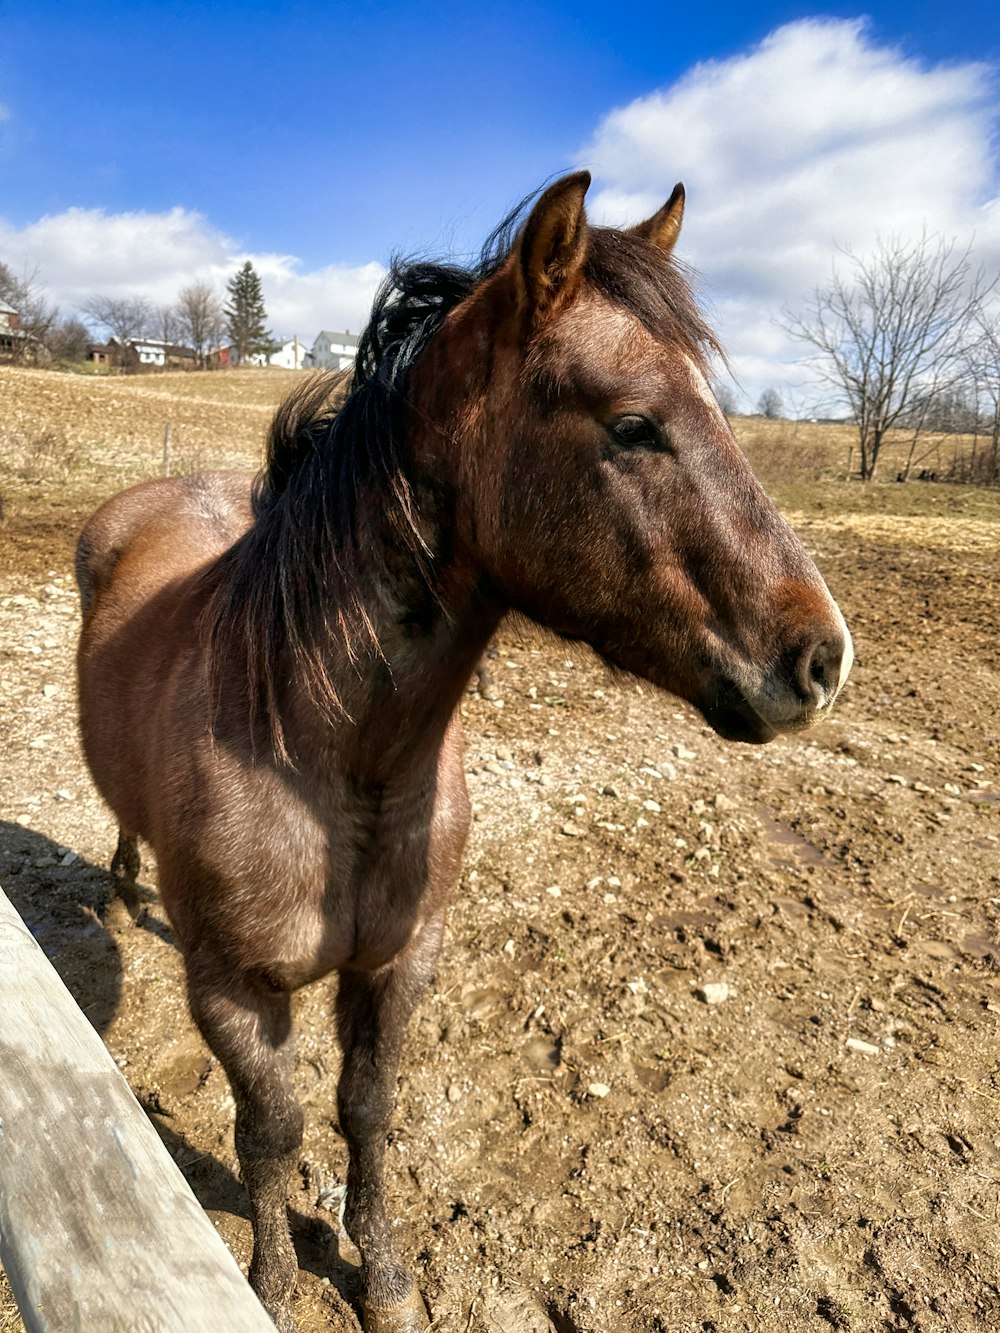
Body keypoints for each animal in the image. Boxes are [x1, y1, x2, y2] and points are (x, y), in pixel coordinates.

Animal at [78, 171, 853, 1327]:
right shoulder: (234, 994)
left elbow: (366, 1113)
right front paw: (273, 1280)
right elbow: (272, 1132)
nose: (822, 659)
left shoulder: (401, 967)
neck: (334, 763)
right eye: (633, 424)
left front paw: (387, 1278)